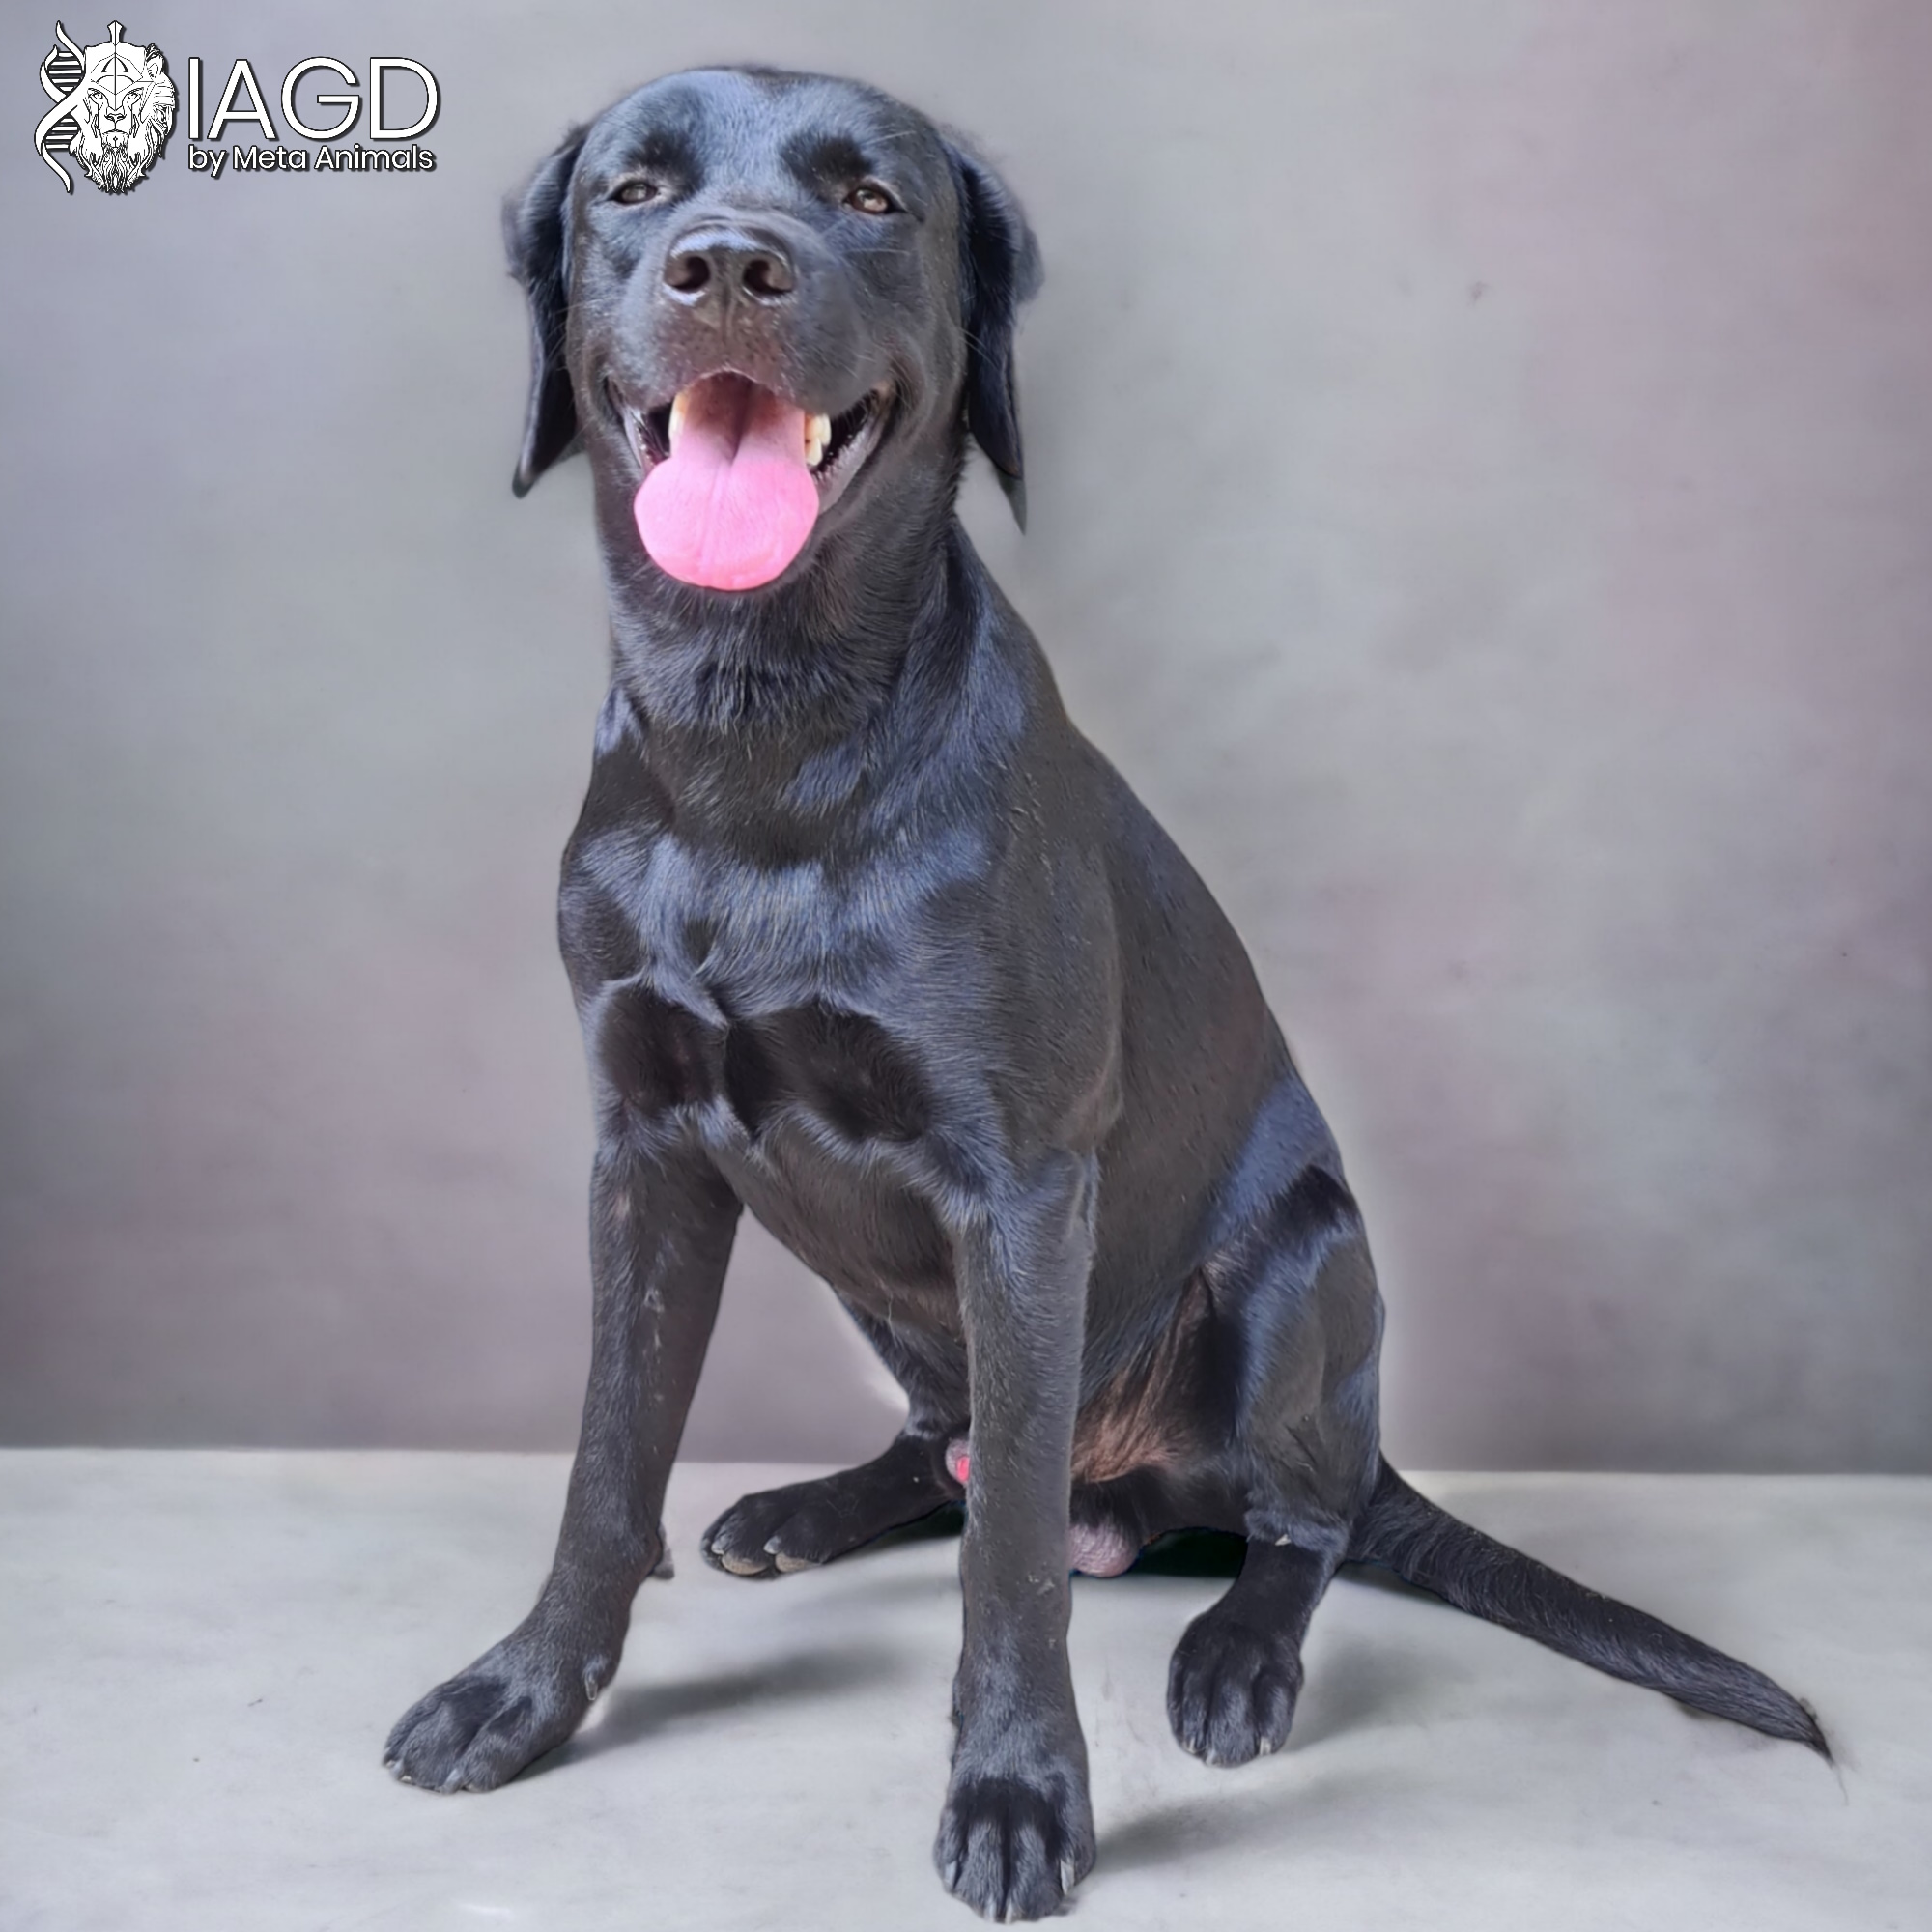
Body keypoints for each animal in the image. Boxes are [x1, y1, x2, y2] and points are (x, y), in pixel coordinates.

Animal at [384, 66, 1826, 1920]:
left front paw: (1015, 1789)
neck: (761, 733)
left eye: (873, 202)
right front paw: (524, 1690)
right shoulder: (645, 1156)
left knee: (1291, 1522)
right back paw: (806, 1511)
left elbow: (1010, 1556)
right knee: (948, 1449)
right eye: (632, 190)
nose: (727, 266)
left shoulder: (1020, 1194)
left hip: (1302, 1265)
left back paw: (1238, 1655)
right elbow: (604, 1463)